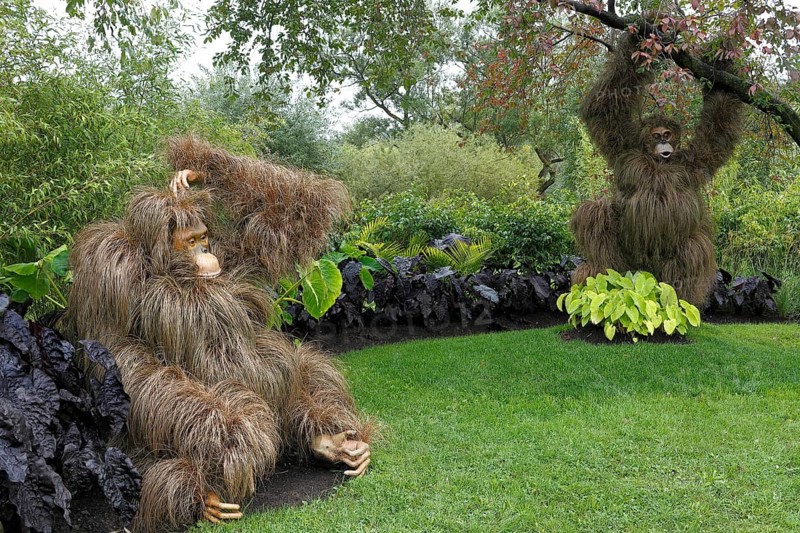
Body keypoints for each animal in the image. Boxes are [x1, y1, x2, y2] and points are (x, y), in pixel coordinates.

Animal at [60, 136, 373, 532]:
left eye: (204, 237)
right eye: (189, 241)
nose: (205, 253)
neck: (167, 268)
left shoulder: (234, 255)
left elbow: (285, 219)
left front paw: (193, 172)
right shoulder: (108, 267)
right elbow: (123, 353)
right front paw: (228, 432)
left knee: (304, 368)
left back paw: (330, 440)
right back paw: (199, 491)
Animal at [570, 31, 744, 306]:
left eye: (668, 134)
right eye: (656, 135)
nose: (664, 141)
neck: (658, 162)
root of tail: (644, 268)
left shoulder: (692, 161)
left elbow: (718, 124)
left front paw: (722, 58)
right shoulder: (625, 149)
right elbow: (606, 106)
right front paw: (644, 33)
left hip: (665, 261)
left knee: (691, 249)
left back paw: (681, 299)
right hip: (626, 262)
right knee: (594, 212)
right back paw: (597, 273)